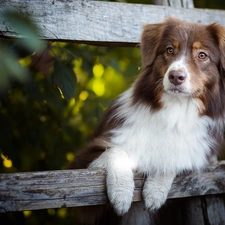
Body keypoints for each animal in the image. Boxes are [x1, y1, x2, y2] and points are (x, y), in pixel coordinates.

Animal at [67, 18, 225, 225]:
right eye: (169, 50)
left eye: (202, 55)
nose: (175, 76)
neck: (174, 111)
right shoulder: (80, 163)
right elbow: (115, 151)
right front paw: (121, 192)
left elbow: (173, 158)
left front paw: (155, 191)